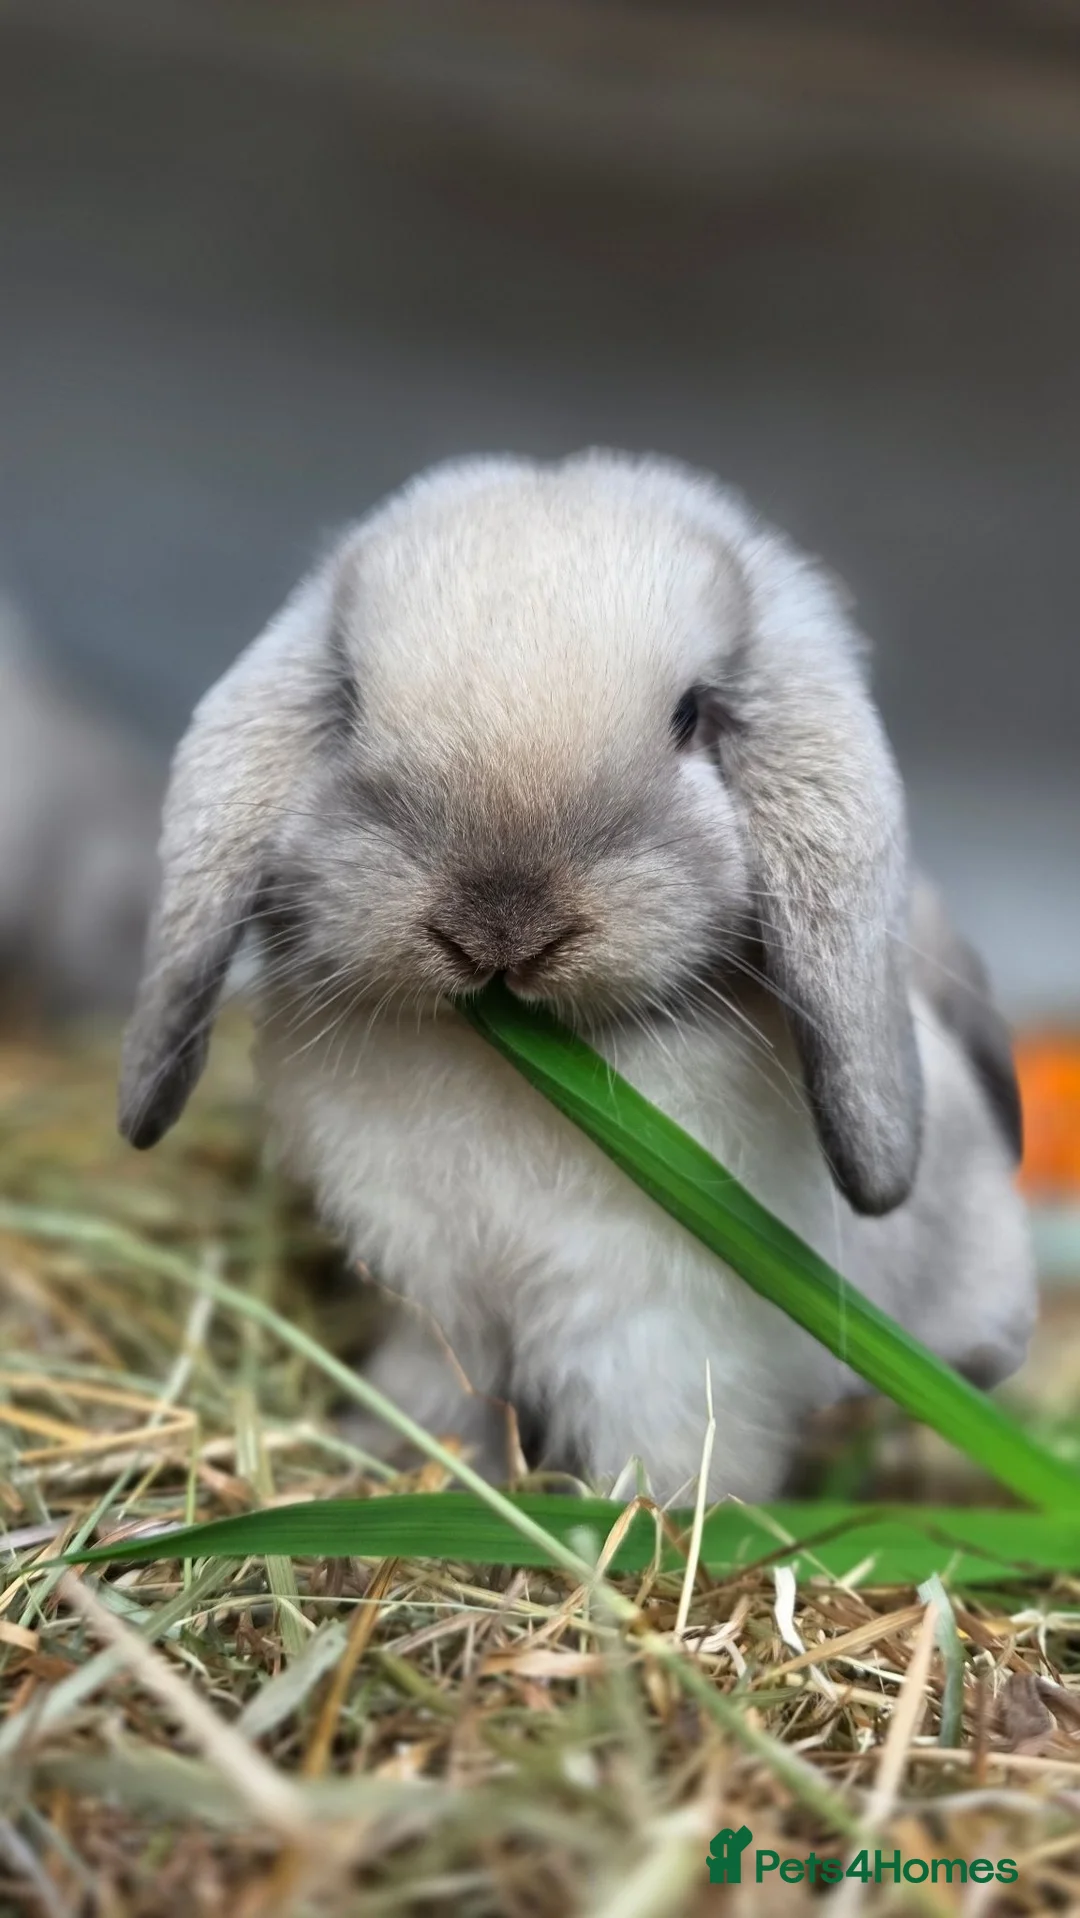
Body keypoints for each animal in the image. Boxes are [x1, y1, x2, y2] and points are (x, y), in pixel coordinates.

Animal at [118, 452, 1036, 1502]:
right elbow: (444, 1390)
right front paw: (411, 1463)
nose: (499, 928)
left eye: (690, 716)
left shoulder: (652, 1331)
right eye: (347, 705)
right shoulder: (440, 1301)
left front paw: (652, 1517)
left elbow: (667, 1432)